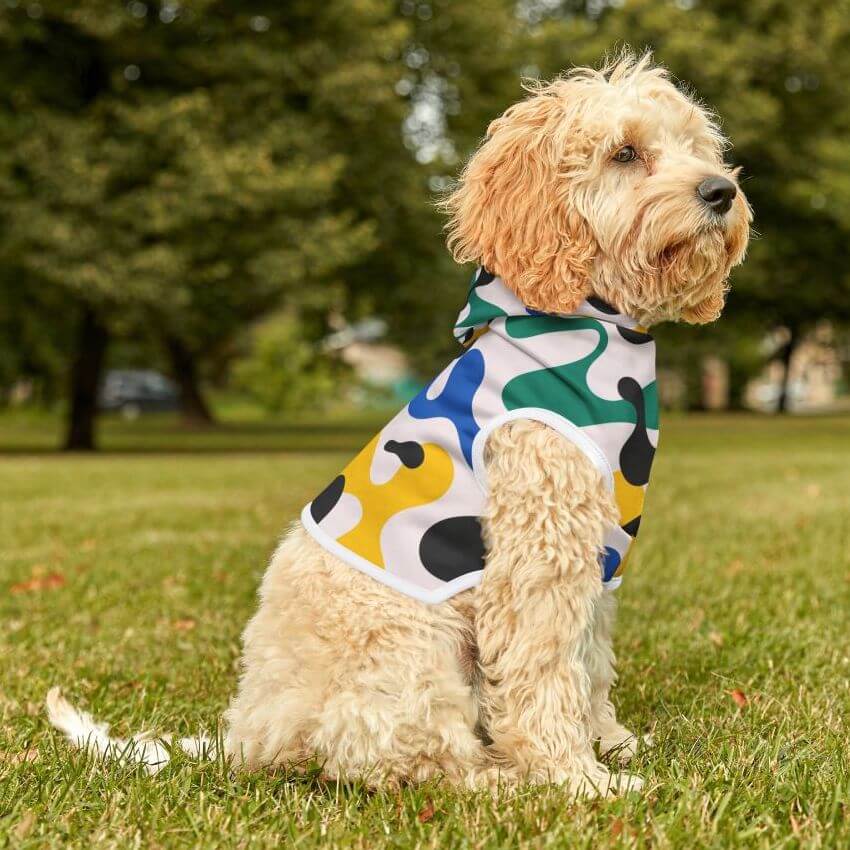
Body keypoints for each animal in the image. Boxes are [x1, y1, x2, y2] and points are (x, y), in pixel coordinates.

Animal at [48, 53, 748, 796]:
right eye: (625, 153)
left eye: (696, 147)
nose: (721, 191)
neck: (591, 322)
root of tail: (248, 736)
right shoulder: (538, 554)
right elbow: (544, 671)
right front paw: (575, 778)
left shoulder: (597, 554)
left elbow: (589, 662)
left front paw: (610, 743)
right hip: (415, 650)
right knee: (405, 760)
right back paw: (498, 779)